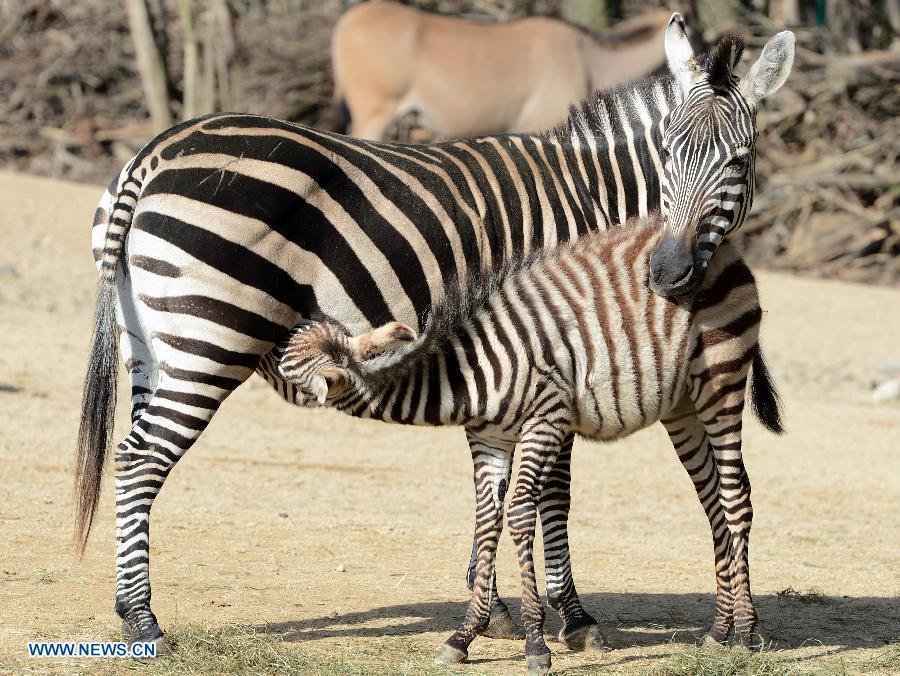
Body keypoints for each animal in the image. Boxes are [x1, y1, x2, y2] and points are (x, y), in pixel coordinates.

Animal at [278, 215, 784, 672]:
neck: (469, 374)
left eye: (290, 376)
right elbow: (487, 521)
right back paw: (718, 631)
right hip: (682, 405)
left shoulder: (547, 418)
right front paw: (463, 637)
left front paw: (536, 645)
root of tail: (722, 249)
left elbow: (521, 514)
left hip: (721, 380)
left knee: (737, 498)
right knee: (713, 501)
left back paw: (745, 633)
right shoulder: (487, 438)